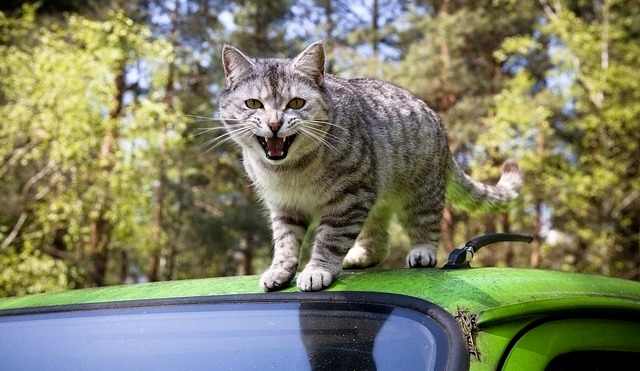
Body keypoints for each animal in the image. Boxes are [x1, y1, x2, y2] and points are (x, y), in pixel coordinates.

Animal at [218, 40, 524, 290]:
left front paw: (316, 270)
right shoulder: (284, 207)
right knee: (378, 242)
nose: (274, 124)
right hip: (376, 201)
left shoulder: (348, 199)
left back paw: (422, 251)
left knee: (426, 224)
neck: (289, 171)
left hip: (421, 192)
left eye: (295, 103)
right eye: (253, 103)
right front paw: (280, 270)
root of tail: (438, 121)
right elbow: (285, 242)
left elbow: (330, 240)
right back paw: (358, 257)